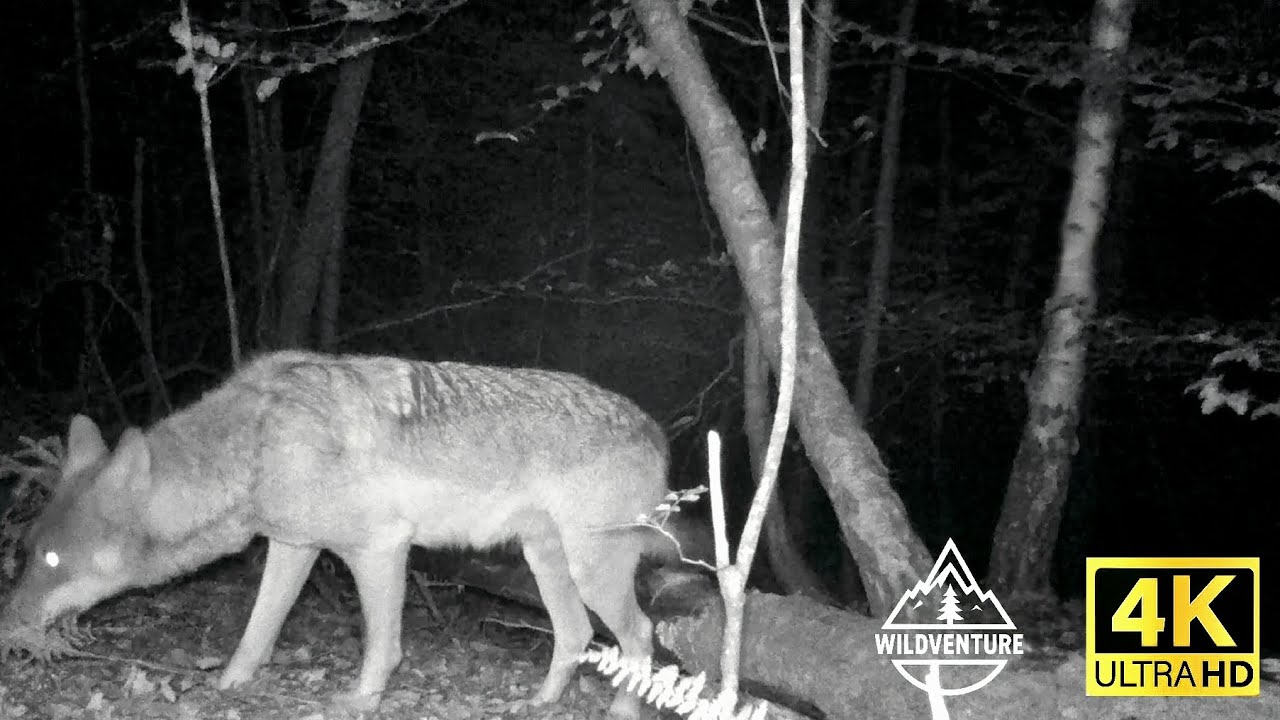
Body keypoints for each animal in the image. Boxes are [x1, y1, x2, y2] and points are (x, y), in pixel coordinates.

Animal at [0, 351, 684, 718]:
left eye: (55, 560)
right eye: (28, 553)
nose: (8, 627)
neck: (254, 446)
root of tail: (655, 429)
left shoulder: (379, 548)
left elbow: (382, 645)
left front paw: (360, 701)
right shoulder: (293, 546)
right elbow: (257, 631)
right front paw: (230, 686)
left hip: (591, 570)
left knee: (640, 634)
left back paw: (622, 709)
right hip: (548, 562)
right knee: (575, 636)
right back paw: (539, 703)